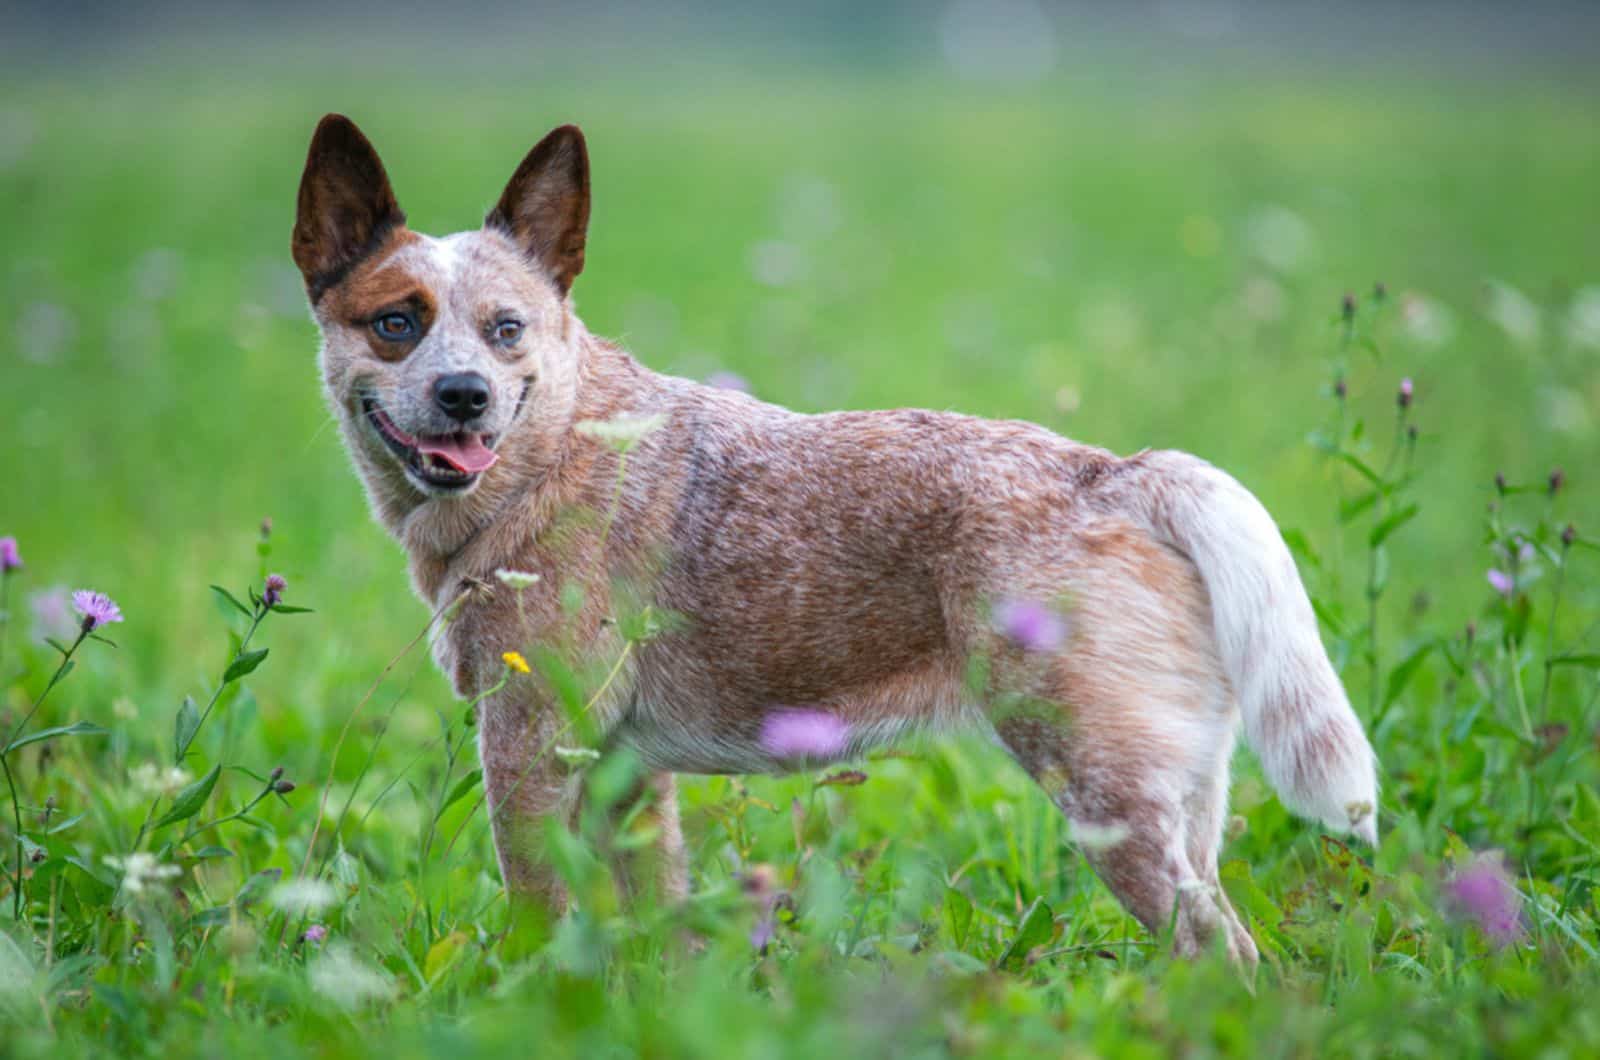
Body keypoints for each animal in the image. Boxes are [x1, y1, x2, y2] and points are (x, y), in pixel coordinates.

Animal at [294, 114, 1382, 960]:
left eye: (506, 328)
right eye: (396, 322)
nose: (463, 395)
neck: (552, 448)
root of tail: (1119, 474)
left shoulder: (528, 745)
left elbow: (534, 919)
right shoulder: (623, 774)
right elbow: (651, 929)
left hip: (1101, 790)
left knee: (1217, 949)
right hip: (1181, 798)